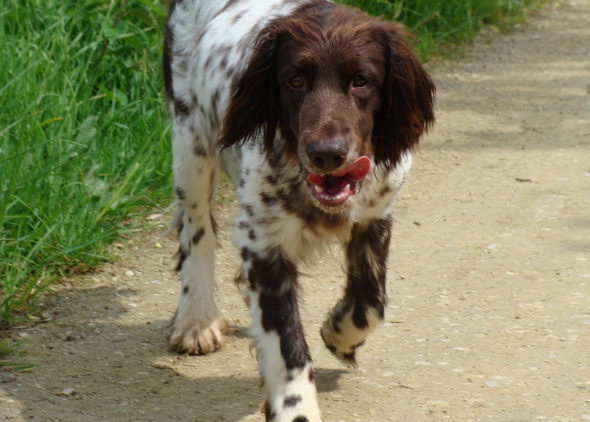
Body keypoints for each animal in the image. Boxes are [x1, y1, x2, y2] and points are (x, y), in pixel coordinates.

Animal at [162, 1, 434, 420]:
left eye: (361, 80)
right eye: (294, 80)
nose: (326, 153)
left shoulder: (375, 215)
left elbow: (371, 303)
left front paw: (339, 334)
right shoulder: (263, 240)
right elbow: (286, 345)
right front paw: (295, 407)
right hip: (189, 142)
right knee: (197, 228)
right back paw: (197, 319)